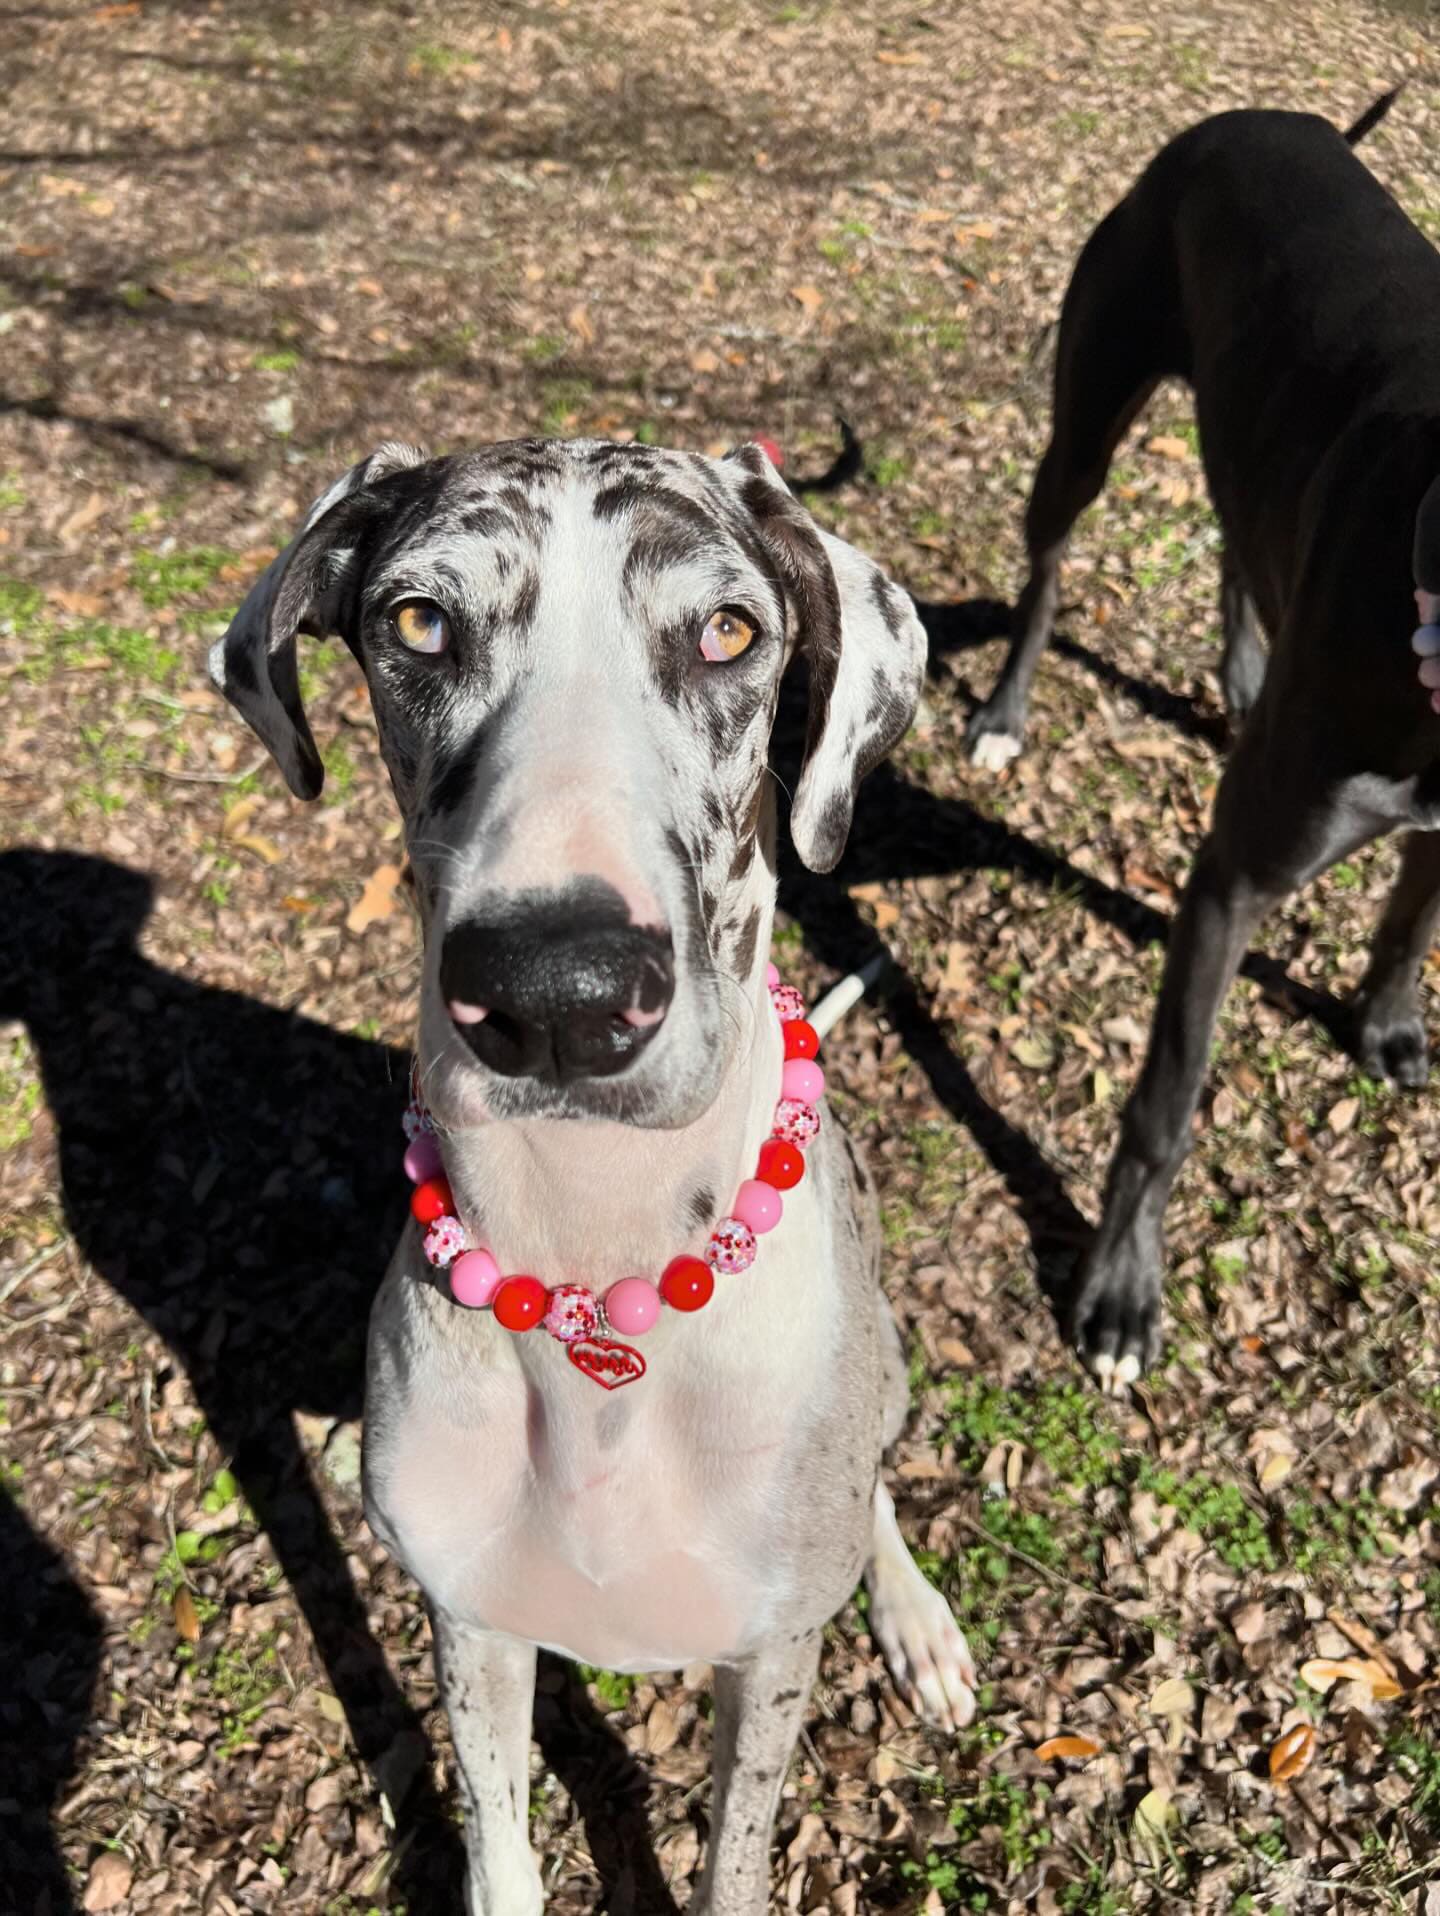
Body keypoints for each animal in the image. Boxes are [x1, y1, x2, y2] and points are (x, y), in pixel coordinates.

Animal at [210, 438, 980, 1916]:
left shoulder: (767, 1665)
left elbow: (735, 1861)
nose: (555, 993)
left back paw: (914, 1613)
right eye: (417, 622)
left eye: (728, 631)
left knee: (878, 1492)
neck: (594, 1255)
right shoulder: (473, 1632)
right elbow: (501, 1854)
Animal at [961, 90, 1440, 1387]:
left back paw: (1239, 674)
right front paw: (1119, 1291)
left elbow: (1410, 919)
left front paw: (1386, 1025)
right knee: (1046, 565)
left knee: (1238, 527)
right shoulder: (1232, 878)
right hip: (1088, 415)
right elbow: (1165, 1107)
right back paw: (1005, 713)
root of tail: (1262, 117)